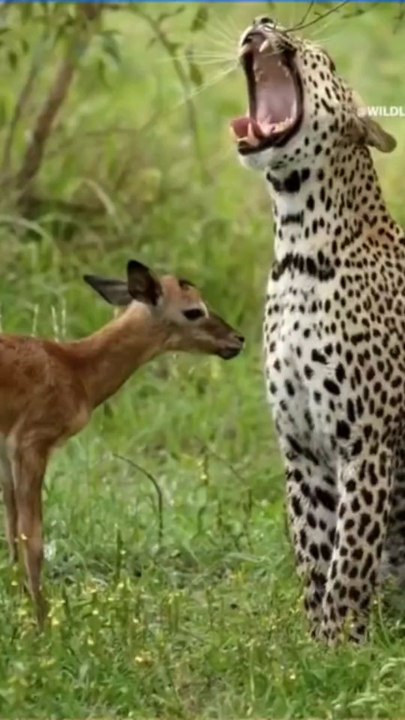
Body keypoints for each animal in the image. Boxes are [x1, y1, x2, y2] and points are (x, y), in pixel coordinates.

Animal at [0, 259, 244, 624]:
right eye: (193, 310)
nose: (237, 339)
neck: (76, 371)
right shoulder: (31, 441)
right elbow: (32, 538)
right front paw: (44, 623)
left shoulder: (7, 452)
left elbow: (12, 531)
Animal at [230, 15, 405, 644]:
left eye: (321, 55)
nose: (262, 22)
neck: (299, 248)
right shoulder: (300, 444)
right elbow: (314, 549)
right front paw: (314, 644)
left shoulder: (368, 444)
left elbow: (349, 554)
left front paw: (339, 645)